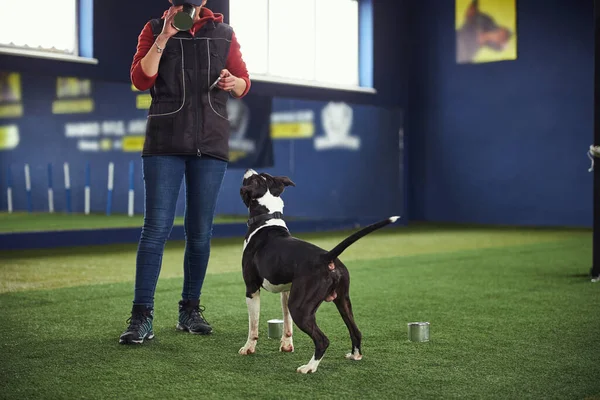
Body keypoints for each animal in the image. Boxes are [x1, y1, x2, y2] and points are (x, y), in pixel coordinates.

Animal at [238, 168, 398, 372]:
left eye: (253, 179)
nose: (249, 169)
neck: (266, 219)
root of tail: (327, 257)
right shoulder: (286, 291)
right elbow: (286, 322)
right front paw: (286, 345)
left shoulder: (251, 289)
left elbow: (253, 325)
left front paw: (248, 348)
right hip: (342, 301)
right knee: (355, 331)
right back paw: (354, 355)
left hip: (301, 308)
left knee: (322, 340)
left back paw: (309, 367)